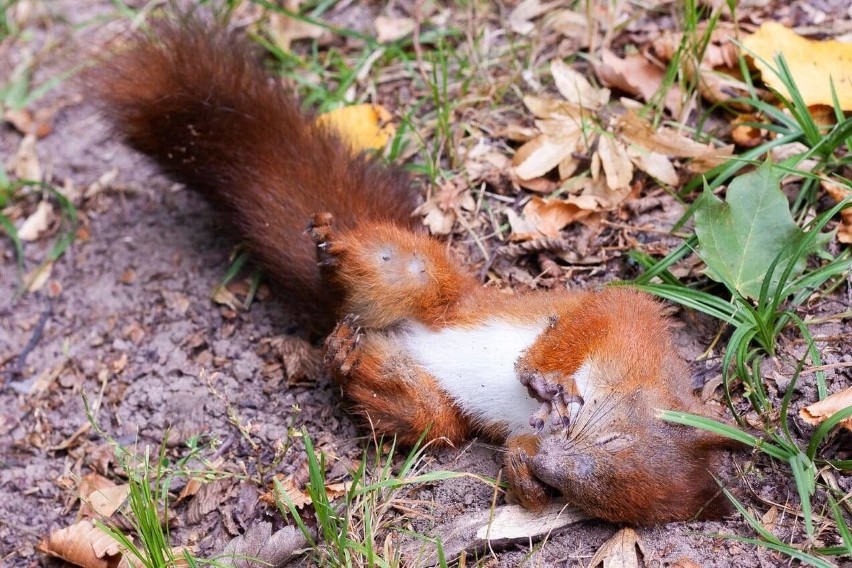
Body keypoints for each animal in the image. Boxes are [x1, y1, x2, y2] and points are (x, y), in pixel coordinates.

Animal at [91, 16, 732, 524]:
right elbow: (598, 311)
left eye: (588, 500)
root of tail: (360, 318)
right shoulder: (627, 320)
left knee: (417, 407)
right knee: (375, 268)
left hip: (430, 403)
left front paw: (526, 480)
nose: (553, 463)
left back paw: (349, 360)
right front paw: (545, 377)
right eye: (611, 437)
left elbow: (519, 455)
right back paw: (332, 246)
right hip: (419, 277)